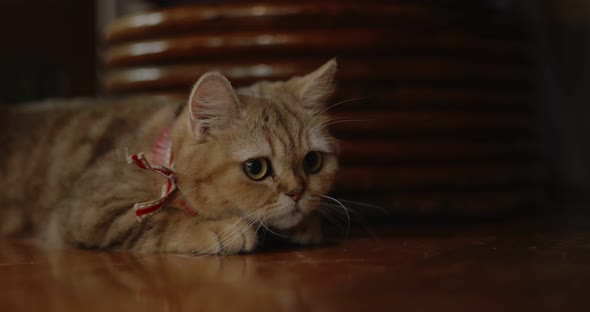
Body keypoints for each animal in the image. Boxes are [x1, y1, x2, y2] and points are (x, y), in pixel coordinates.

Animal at [0, 60, 340, 254]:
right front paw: (216, 228)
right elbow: (161, 219)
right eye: (256, 168)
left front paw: (305, 224)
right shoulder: (90, 211)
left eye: (312, 162)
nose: (297, 193)